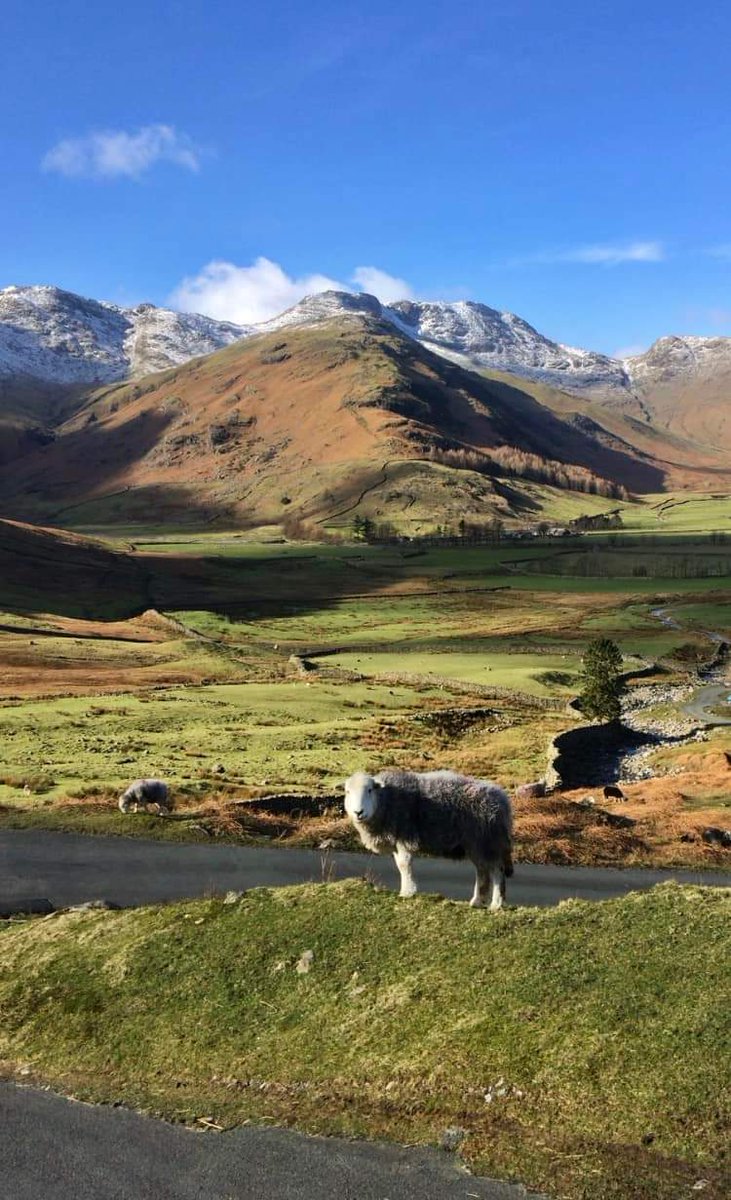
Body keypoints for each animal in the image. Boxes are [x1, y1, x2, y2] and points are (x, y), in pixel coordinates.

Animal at [343, 768, 511, 907]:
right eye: (347, 792)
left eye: (370, 790)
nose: (358, 812)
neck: (386, 800)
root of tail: (503, 799)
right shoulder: (397, 840)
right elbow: (399, 865)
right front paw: (406, 890)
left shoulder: (405, 836)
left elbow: (404, 864)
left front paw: (407, 892)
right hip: (477, 844)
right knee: (482, 870)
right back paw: (477, 901)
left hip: (488, 841)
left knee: (497, 870)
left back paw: (496, 904)